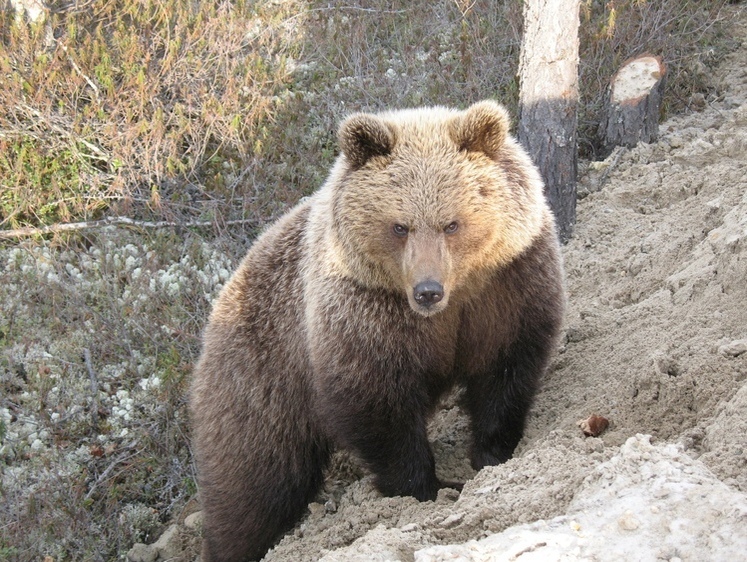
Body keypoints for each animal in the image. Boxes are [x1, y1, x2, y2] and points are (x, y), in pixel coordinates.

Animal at [190, 98, 564, 556]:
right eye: (400, 226)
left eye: (451, 223)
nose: (427, 291)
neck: (454, 300)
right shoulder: (365, 313)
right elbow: (378, 404)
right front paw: (422, 487)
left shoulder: (507, 285)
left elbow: (505, 370)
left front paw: (492, 454)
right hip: (261, 380)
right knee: (254, 483)